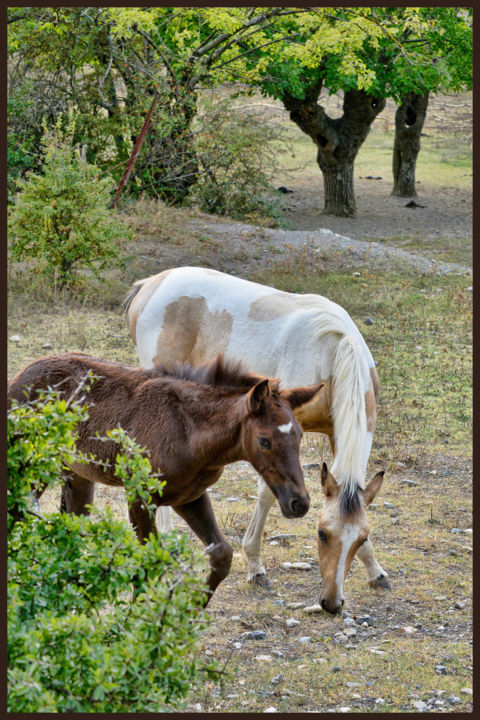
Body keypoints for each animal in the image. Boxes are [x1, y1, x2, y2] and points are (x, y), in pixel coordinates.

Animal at [124, 266, 390, 612]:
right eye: (322, 534)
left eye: (360, 538)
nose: (332, 603)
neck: (333, 355)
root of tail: (153, 283)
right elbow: (267, 492)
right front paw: (255, 565)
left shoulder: (338, 433)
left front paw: (376, 571)